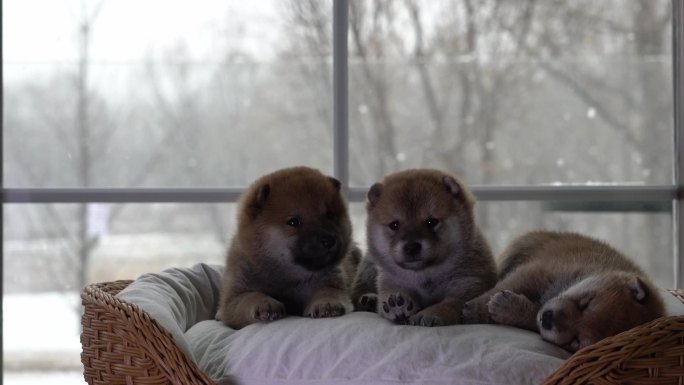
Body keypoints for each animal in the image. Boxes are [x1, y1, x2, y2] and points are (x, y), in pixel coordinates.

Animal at [218, 166, 358, 328]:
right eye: (293, 222)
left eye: (330, 215)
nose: (329, 240)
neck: (288, 278)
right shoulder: (233, 299)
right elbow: (249, 296)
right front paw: (265, 303)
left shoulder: (332, 282)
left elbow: (328, 290)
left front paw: (327, 303)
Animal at [352, 168, 496, 324]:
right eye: (394, 225)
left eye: (431, 222)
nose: (411, 247)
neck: (424, 275)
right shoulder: (391, 281)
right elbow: (388, 295)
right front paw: (397, 306)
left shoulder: (469, 283)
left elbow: (451, 302)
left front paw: (432, 313)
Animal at [460, 230, 664, 352]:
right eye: (585, 303)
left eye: (576, 341)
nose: (548, 319)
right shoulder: (538, 271)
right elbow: (502, 286)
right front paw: (474, 309)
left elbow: (531, 315)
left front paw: (508, 309)